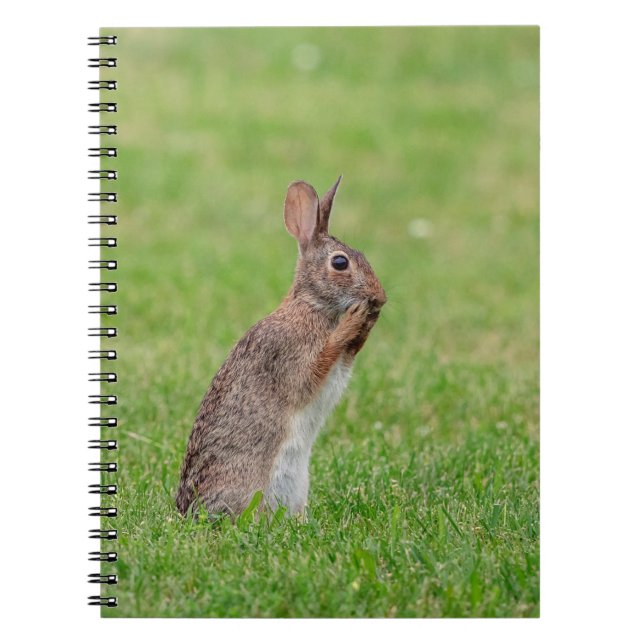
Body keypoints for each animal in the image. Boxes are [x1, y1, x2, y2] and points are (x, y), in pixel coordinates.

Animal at [176, 177, 386, 517]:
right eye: (340, 262)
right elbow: (317, 367)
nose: (380, 297)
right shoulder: (290, 356)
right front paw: (354, 318)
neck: (311, 306)